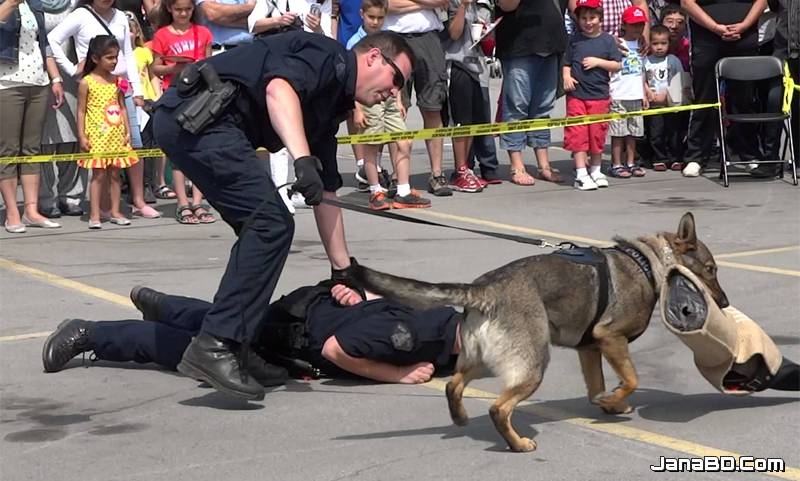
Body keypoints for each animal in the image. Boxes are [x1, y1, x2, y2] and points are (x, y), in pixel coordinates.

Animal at [354, 212, 728, 452]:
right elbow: (631, 379)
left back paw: (460, 418)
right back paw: (517, 444)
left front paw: (609, 404)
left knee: (453, 384)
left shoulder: (590, 349)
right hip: (532, 366)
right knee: (498, 408)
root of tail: (484, 289)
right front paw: (615, 401)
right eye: (710, 270)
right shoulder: (611, 338)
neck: (647, 263)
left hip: (484, 361)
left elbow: (598, 387)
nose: (724, 303)